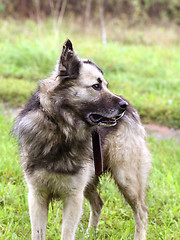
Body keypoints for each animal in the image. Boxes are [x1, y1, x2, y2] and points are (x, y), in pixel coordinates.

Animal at [12, 38, 150, 239]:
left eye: (106, 85)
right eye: (96, 86)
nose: (123, 106)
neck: (62, 129)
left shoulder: (73, 197)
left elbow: (67, 234)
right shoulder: (37, 196)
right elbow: (38, 233)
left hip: (127, 178)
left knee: (141, 211)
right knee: (98, 203)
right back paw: (90, 234)